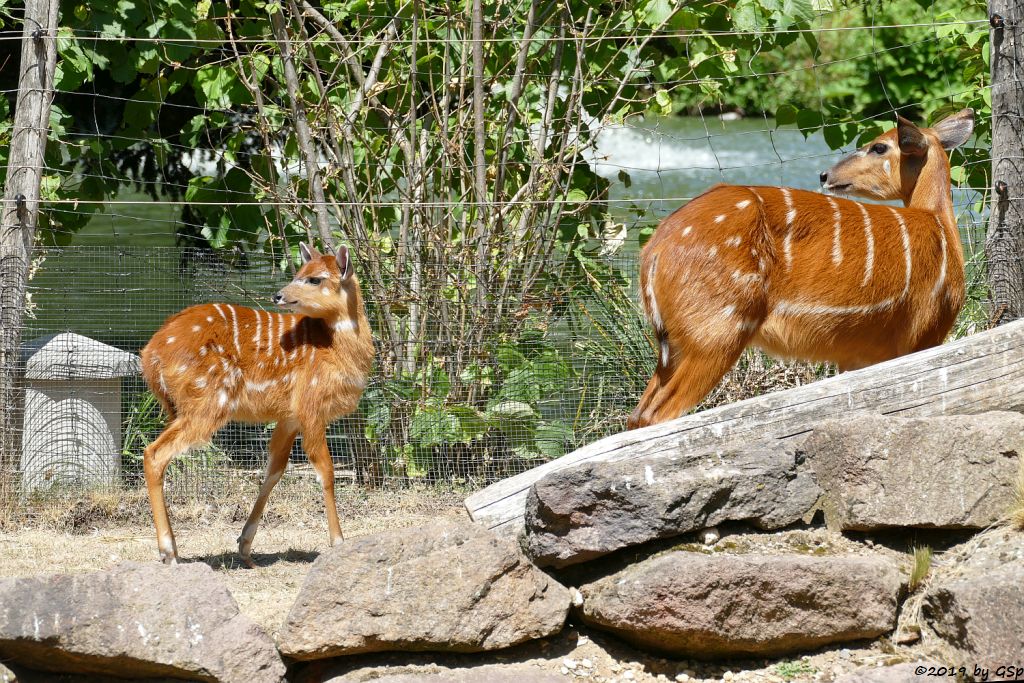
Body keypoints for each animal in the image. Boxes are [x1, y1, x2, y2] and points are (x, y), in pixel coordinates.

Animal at [139, 242, 372, 565]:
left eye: (314, 279)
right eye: (300, 273)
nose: (278, 295)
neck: (337, 349)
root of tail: (151, 354)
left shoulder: (289, 416)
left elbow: (274, 470)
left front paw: (245, 546)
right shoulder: (311, 407)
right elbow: (325, 471)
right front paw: (338, 541)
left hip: (180, 409)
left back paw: (173, 549)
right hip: (208, 405)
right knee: (154, 453)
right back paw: (168, 552)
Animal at [622, 108, 974, 428]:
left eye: (879, 147)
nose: (825, 175)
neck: (940, 227)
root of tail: (652, 252)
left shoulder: (859, 354)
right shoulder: (921, 334)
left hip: (674, 345)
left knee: (638, 414)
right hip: (717, 331)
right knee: (657, 415)